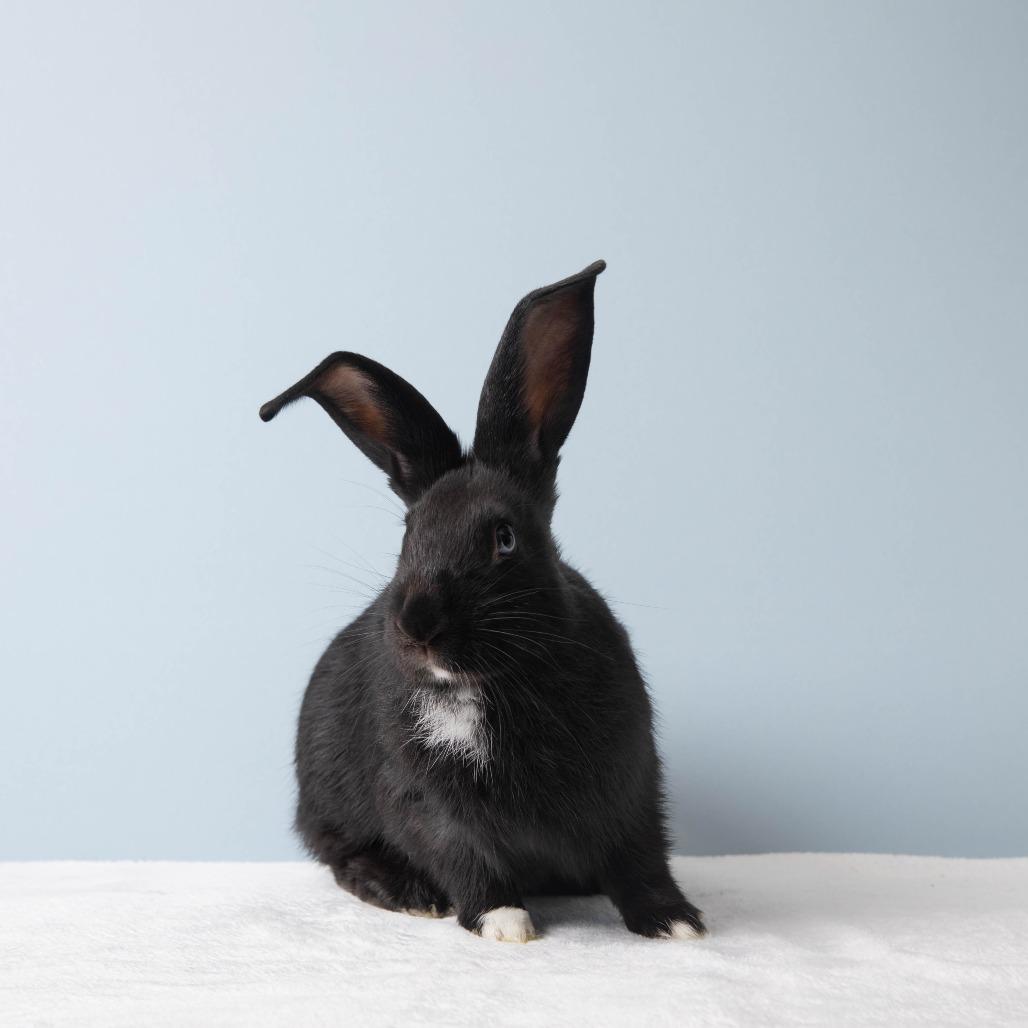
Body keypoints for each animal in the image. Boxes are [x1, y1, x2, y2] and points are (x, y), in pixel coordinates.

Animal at [259, 260, 706, 943]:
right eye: (408, 533)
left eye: (504, 538)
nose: (418, 625)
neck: (490, 684)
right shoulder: (426, 801)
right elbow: (463, 856)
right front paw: (505, 923)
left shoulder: (631, 785)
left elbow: (641, 857)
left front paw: (676, 923)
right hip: (330, 803)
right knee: (342, 856)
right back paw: (409, 893)